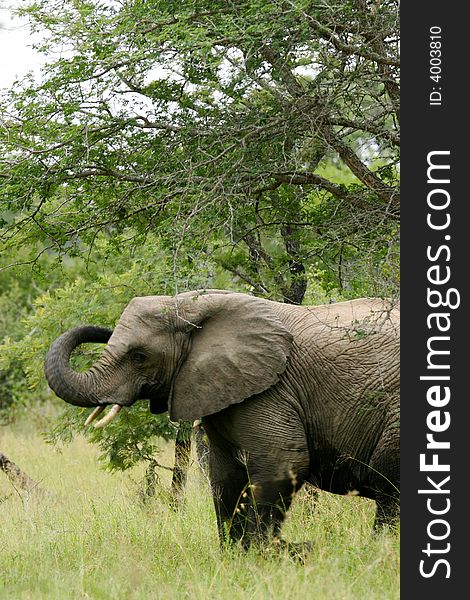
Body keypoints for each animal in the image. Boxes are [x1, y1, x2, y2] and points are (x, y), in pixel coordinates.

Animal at [45, 290, 400, 548]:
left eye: (139, 357)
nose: (101, 330)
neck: (193, 307)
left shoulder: (270, 390)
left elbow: (282, 463)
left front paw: (263, 555)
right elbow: (224, 476)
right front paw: (235, 556)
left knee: (390, 490)